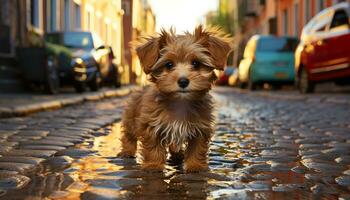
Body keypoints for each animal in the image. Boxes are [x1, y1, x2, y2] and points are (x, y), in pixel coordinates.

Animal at [117, 24, 232, 172]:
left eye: (196, 63)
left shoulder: (201, 128)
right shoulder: (150, 125)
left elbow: (197, 148)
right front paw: (154, 165)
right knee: (129, 135)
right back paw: (127, 151)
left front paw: (195, 166)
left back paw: (178, 155)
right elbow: (153, 147)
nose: (183, 81)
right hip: (131, 118)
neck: (180, 102)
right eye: (169, 65)